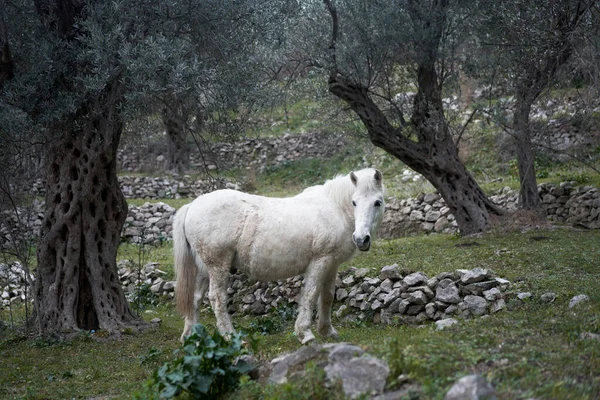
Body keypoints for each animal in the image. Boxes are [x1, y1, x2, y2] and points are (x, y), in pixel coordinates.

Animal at [173, 169, 384, 344]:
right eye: (354, 202)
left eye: (377, 202)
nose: (361, 239)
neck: (334, 208)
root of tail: (192, 205)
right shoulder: (320, 262)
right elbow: (310, 295)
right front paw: (305, 334)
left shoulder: (331, 265)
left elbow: (327, 297)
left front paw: (327, 331)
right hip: (218, 266)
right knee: (217, 298)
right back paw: (230, 336)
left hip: (205, 268)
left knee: (195, 298)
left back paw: (191, 336)